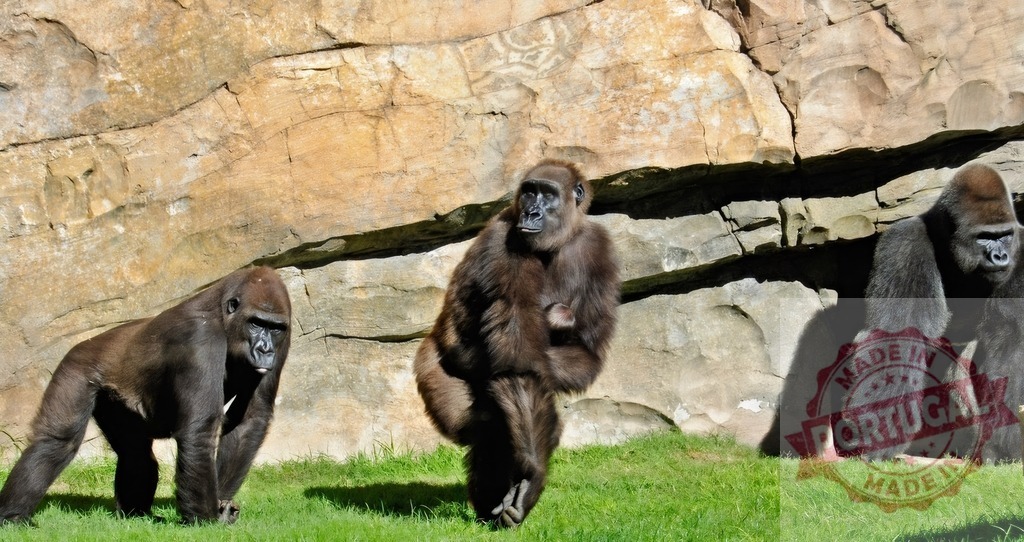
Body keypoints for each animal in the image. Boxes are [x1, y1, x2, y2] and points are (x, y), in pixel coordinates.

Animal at [0, 266, 291, 525]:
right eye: (256, 323)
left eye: (275, 328)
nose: (265, 350)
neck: (223, 315)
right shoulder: (200, 339)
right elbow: (199, 431)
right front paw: (205, 518)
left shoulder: (283, 341)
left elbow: (249, 420)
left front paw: (221, 503)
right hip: (77, 364)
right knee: (57, 441)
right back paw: (12, 515)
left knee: (135, 452)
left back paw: (135, 514)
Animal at [413, 159, 620, 527]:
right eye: (529, 191)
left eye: (547, 194)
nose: (531, 212)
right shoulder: (507, 244)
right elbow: (518, 368)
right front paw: (530, 473)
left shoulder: (601, 248)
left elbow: (584, 355)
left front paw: (529, 481)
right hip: (430, 363)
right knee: (486, 426)